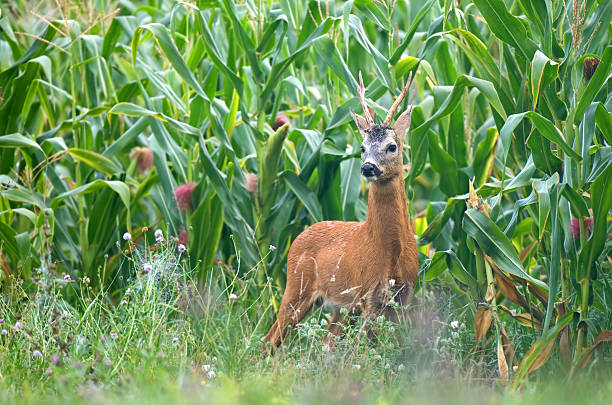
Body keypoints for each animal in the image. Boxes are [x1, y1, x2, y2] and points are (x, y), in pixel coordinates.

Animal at [266, 71, 418, 346]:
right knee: (271, 338)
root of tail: (299, 237)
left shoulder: (404, 295)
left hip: (342, 307)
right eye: (362, 147)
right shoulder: (368, 293)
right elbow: (365, 349)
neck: (392, 253)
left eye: (392, 146)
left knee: (326, 341)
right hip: (296, 287)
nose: (368, 167)